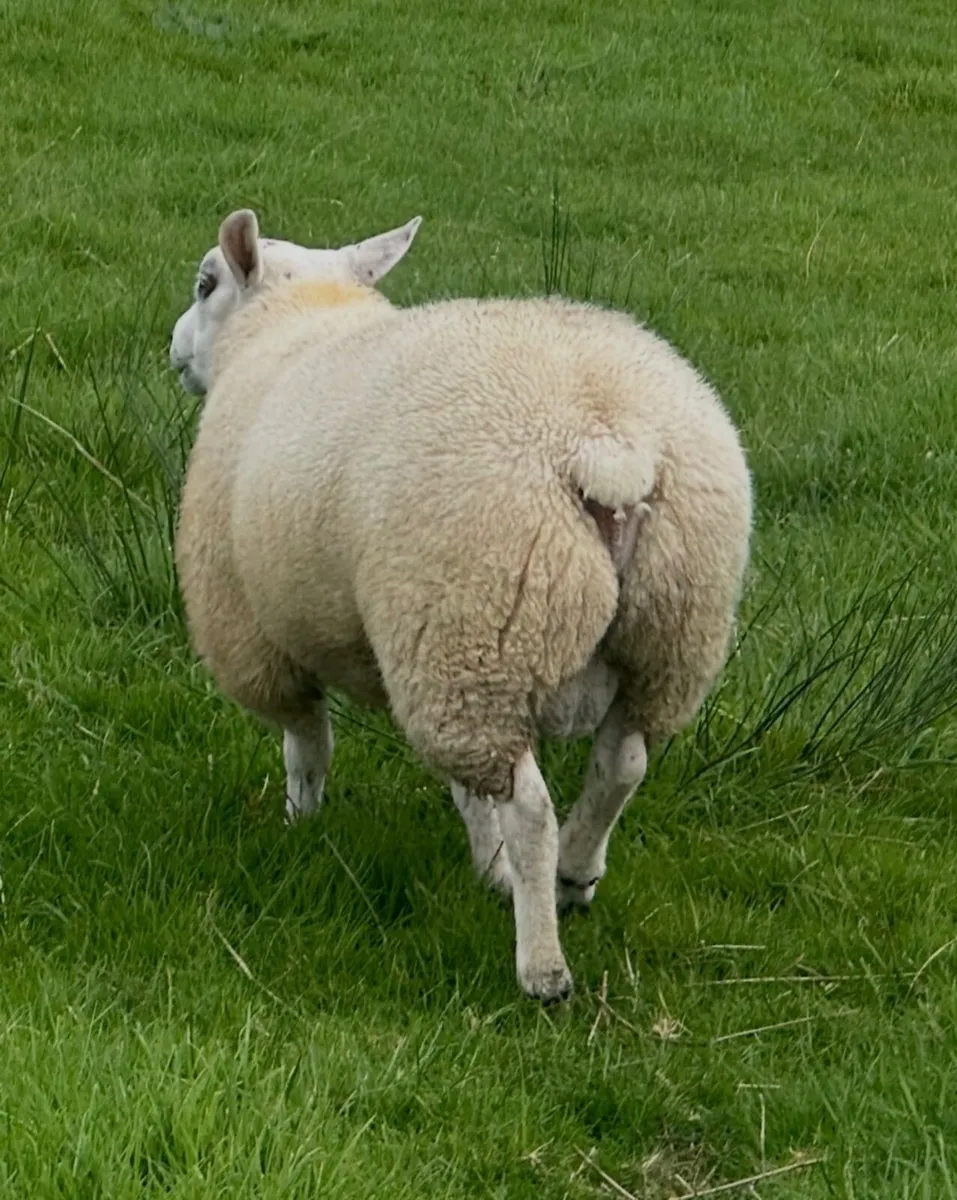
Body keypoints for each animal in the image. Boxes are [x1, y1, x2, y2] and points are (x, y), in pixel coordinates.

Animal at [170, 208, 753, 1004]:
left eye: (205, 284)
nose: (174, 348)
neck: (296, 319)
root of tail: (606, 447)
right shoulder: (418, 644)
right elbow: (466, 794)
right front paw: (487, 865)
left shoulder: (259, 635)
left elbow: (308, 746)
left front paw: (301, 824)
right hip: (656, 635)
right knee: (621, 764)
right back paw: (574, 874)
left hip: (476, 627)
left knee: (532, 808)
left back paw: (543, 967)